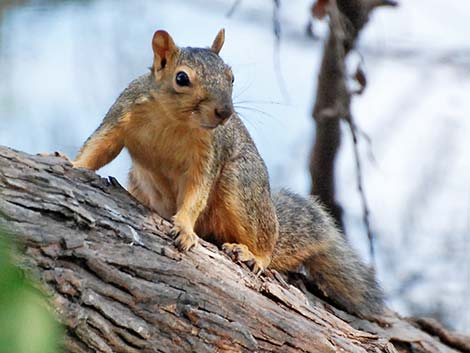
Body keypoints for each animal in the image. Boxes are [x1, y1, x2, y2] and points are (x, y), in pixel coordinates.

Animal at [72, 28, 382, 314]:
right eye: (181, 78)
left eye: (231, 77)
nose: (224, 112)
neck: (173, 120)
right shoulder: (123, 113)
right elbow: (100, 146)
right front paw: (74, 165)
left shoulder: (209, 152)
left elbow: (197, 190)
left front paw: (184, 228)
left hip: (240, 184)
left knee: (266, 241)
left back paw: (254, 255)